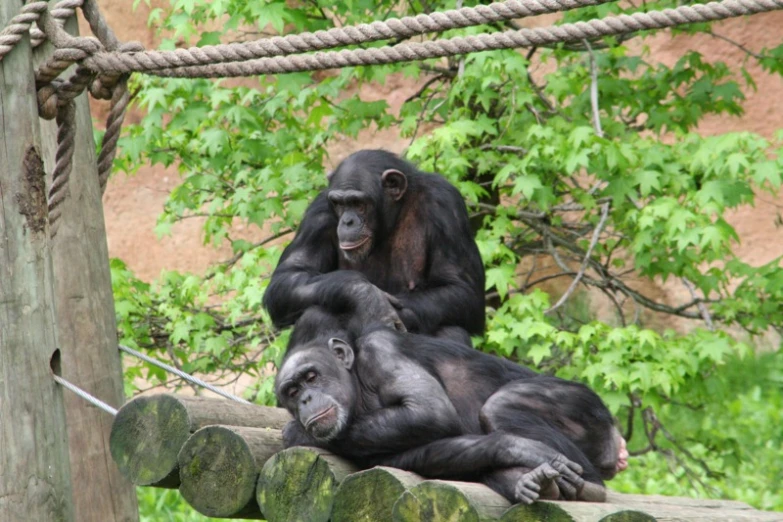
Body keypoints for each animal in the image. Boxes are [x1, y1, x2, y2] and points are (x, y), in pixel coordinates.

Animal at [264, 148, 484, 344]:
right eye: (339, 203)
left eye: (358, 203)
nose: (347, 221)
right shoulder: (317, 215)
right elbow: (289, 276)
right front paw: (367, 298)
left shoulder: (445, 204)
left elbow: (461, 288)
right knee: (316, 313)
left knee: (451, 329)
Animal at [276, 302, 632, 502]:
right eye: (291, 392)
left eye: (311, 377)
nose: (305, 398)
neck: (358, 388)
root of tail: (616, 443)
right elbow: (422, 451)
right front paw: (518, 449)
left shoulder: (382, 352)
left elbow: (430, 412)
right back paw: (530, 482)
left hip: (586, 408)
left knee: (500, 406)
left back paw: (590, 486)